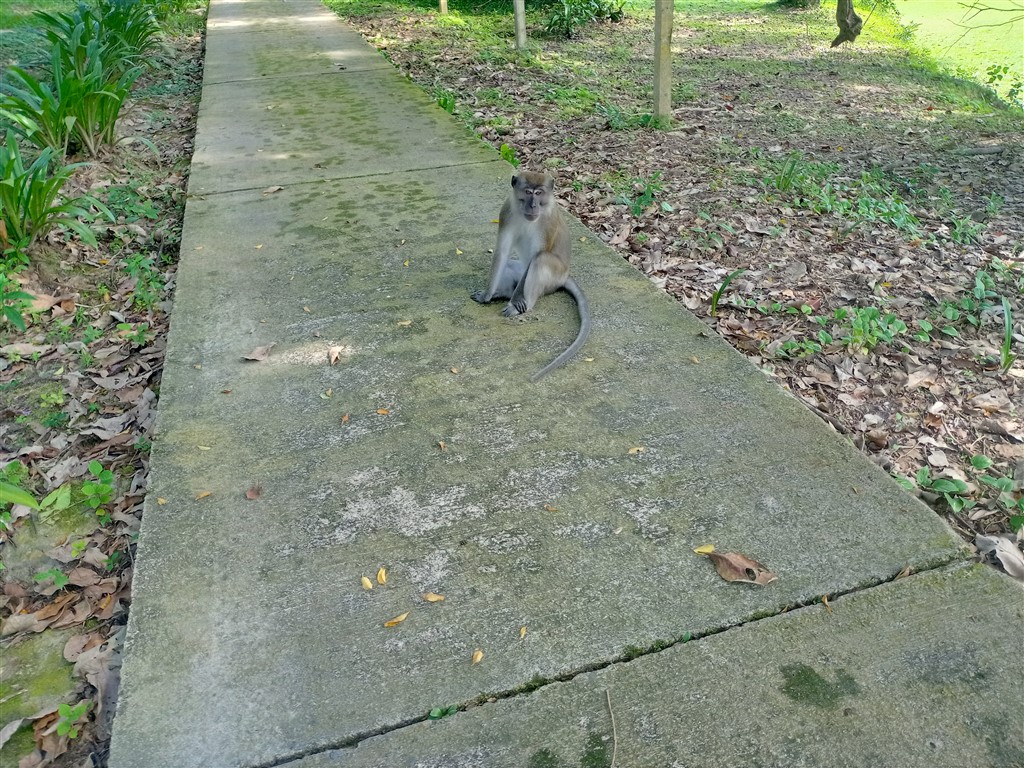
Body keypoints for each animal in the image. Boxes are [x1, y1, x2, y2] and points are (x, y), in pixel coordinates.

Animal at [471, 171, 590, 382]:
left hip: (554, 278)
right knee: (510, 265)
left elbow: (537, 255)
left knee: (540, 260)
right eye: (528, 192)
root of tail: (566, 275)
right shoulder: (507, 211)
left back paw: (521, 305)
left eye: (539, 193)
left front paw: (517, 301)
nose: (533, 205)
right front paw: (486, 295)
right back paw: (502, 293)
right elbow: (502, 253)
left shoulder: (547, 220)